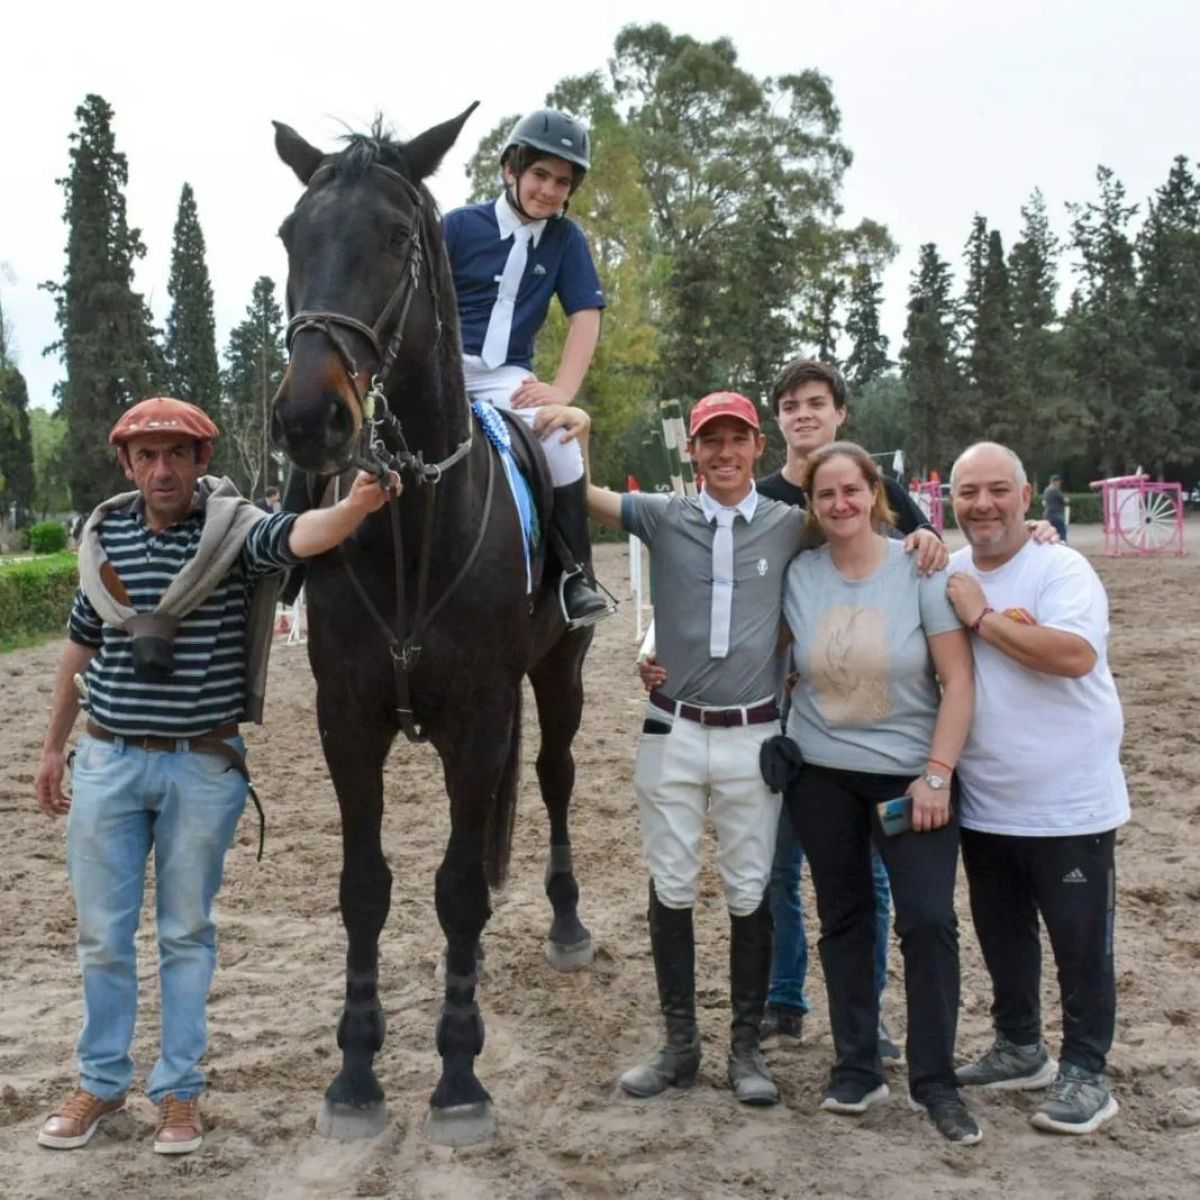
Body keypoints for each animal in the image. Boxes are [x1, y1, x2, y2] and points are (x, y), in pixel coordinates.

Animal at [269, 105, 595, 1146]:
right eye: (291, 235)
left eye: (397, 240)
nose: (310, 420)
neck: (413, 520)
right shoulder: (347, 723)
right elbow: (365, 887)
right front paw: (356, 1073)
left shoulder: (479, 718)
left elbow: (452, 886)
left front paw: (457, 1075)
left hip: (559, 679)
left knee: (554, 779)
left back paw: (565, 925)